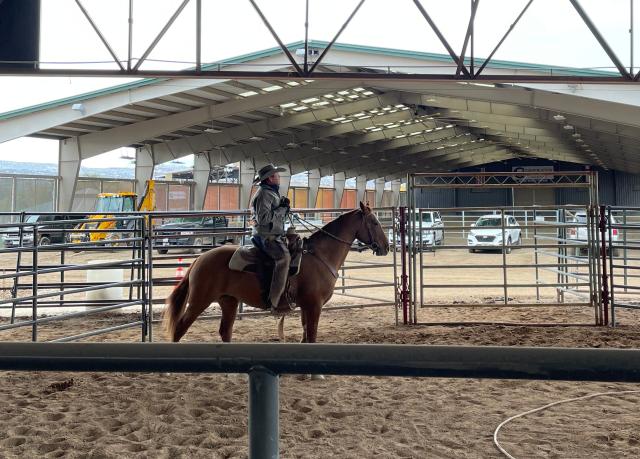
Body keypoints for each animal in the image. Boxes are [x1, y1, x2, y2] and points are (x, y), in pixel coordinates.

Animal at [162, 202, 388, 344]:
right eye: (375, 222)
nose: (386, 246)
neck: (320, 256)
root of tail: (199, 260)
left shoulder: (306, 306)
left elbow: (305, 336)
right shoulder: (314, 306)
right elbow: (312, 335)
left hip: (229, 301)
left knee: (225, 331)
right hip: (199, 301)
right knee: (180, 328)